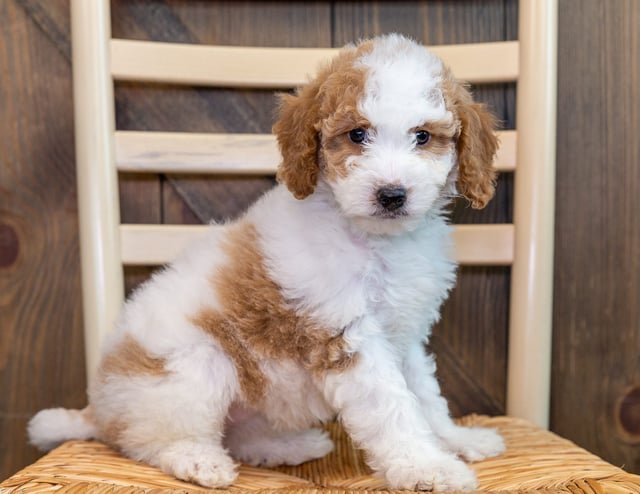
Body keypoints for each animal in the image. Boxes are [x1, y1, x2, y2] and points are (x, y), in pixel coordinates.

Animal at [28, 33, 504, 490]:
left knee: (239, 436)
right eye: (357, 135)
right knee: (153, 440)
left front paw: (456, 440)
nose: (391, 194)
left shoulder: (404, 336)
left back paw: (291, 446)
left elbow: (425, 395)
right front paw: (427, 467)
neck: (376, 240)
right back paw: (199, 461)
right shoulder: (348, 338)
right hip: (195, 365)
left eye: (422, 136)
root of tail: (98, 409)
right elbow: (393, 408)